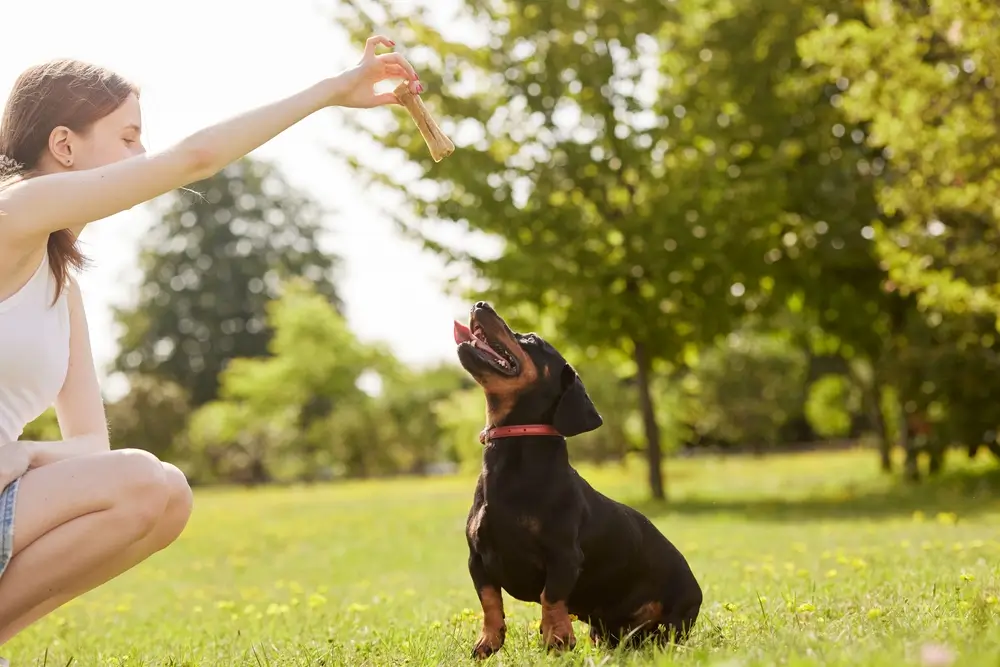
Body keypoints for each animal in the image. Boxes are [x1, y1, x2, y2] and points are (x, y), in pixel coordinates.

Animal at [456, 306, 704, 660]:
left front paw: (558, 640)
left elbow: (551, 597)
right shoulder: (477, 558)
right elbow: (490, 602)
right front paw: (487, 644)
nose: (480, 305)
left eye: (532, 340)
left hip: (675, 616)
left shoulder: (564, 555)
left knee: (664, 635)